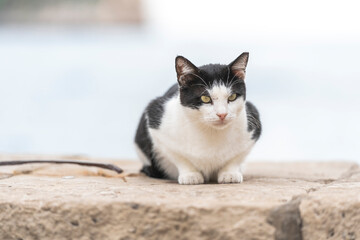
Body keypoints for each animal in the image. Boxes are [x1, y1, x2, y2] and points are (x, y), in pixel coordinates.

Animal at [135, 52, 262, 184]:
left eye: (232, 97)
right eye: (205, 98)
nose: (222, 114)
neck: (211, 132)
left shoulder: (253, 124)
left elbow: (237, 157)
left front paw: (229, 173)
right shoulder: (155, 119)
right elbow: (179, 156)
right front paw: (190, 175)